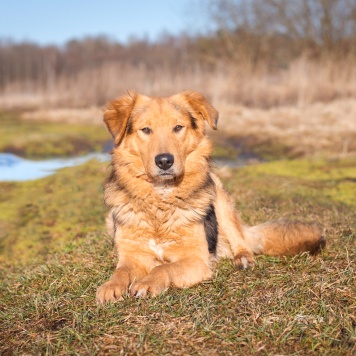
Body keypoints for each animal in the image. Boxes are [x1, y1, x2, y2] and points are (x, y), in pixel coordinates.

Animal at [95, 91, 326, 304]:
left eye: (177, 127)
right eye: (146, 130)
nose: (164, 161)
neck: (160, 202)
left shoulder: (196, 260)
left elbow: (164, 269)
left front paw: (147, 282)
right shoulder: (133, 257)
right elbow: (121, 271)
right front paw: (110, 286)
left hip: (219, 196)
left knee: (240, 239)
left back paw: (242, 258)